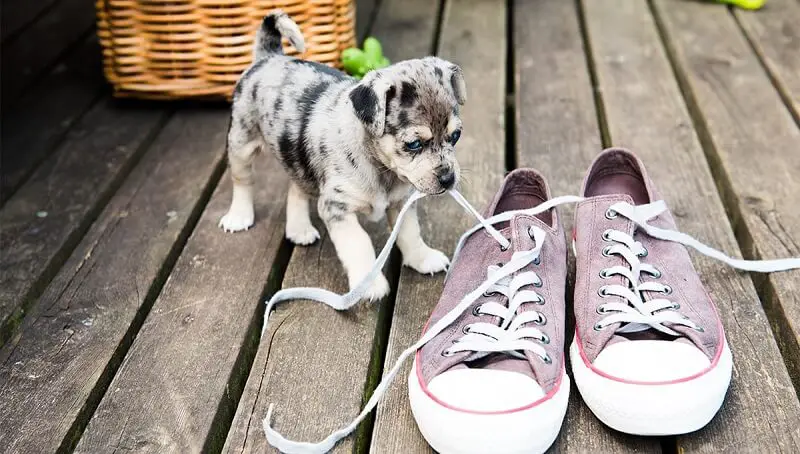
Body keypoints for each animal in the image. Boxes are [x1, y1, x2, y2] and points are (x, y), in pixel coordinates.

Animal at [220, 10, 468, 302]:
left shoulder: (401, 204)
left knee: (296, 188)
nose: (448, 179)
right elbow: (359, 243)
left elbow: (410, 233)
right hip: (241, 143)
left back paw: (299, 228)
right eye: (414, 144)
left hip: (295, 157)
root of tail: (268, 56)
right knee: (242, 181)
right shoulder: (337, 209)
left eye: (455, 136)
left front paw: (422, 258)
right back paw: (239, 216)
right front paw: (369, 284)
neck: (381, 168)